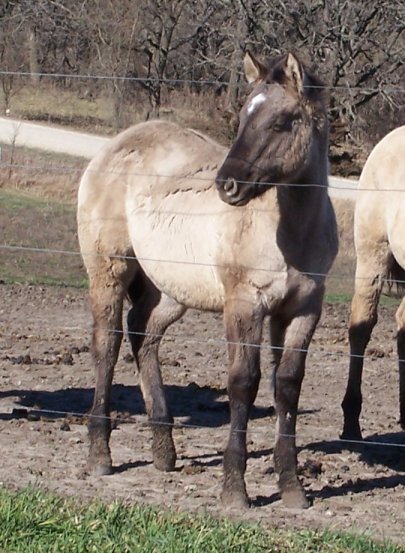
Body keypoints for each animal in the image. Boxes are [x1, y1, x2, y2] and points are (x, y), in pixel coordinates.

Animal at [77, 51, 336, 508]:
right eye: (243, 116)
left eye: (282, 121)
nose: (226, 185)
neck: (292, 233)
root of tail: (111, 148)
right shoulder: (244, 304)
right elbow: (243, 382)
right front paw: (234, 489)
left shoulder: (304, 308)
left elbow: (287, 385)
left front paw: (293, 488)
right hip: (109, 269)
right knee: (107, 345)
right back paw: (100, 456)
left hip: (169, 290)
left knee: (143, 334)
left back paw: (164, 452)